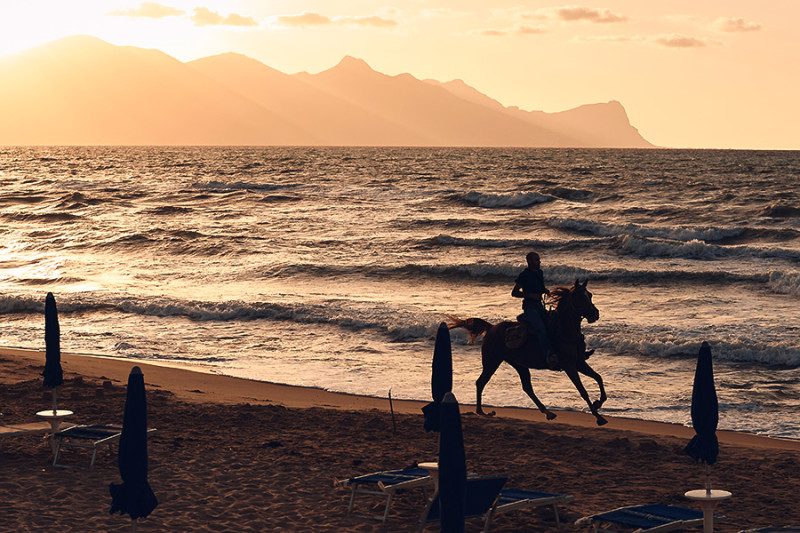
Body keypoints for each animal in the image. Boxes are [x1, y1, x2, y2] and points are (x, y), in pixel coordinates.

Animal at [476, 278, 608, 424]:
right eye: (580, 296)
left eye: (589, 295)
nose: (595, 314)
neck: (565, 331)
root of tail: (491, 328)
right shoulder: (570, 367)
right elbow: (583, 391)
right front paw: (599, 417)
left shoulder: (579, 363)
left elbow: (598, 377)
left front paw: (598, 403)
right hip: (492, 361)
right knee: (481, 382)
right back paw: (481, 411)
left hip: (519, 365)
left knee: (527, 388)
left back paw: (548, 413)